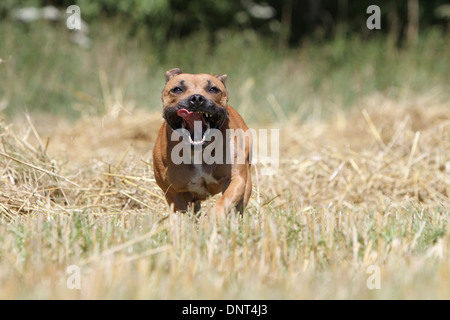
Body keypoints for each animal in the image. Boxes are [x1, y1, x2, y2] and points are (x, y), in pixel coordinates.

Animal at [152, 68, 251, 218]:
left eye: (213, 89)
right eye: (177, 89)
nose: (197, 98)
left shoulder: (236, 179)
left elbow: (224, 202)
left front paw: (212, 219)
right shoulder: (173, 192)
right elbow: (183, 213)